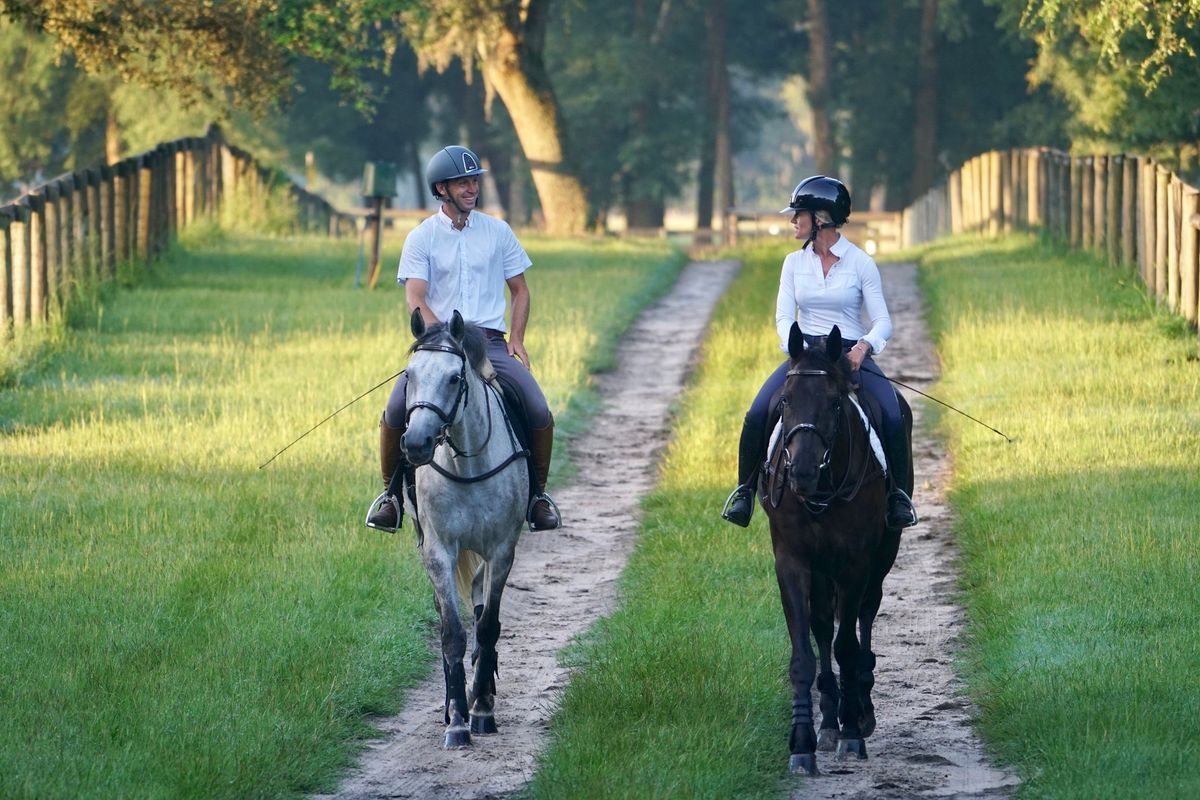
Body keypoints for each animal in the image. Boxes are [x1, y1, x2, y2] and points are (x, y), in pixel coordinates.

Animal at [400, 309, 528, 753]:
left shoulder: (502, 550)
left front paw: (483, 712)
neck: (467, 463)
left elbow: (487, 626)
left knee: (478, 601)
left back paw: (480, 690)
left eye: (455, 378)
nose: (416, 443)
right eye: (409, 375)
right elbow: (452, 633)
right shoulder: (438, 551)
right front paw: (456, 722)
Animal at [763, 321, 902, 772]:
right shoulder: (791, 561)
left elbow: (847, 645)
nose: (802, 472)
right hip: (822, 569)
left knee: (864, 616)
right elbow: (805, 652)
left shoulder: (856, 563)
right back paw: (829, 722)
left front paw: (853, 733)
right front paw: (802, 743)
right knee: (824, 625)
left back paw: (859, 710)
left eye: (834, 403)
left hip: (880, 557)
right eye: (785, 402)